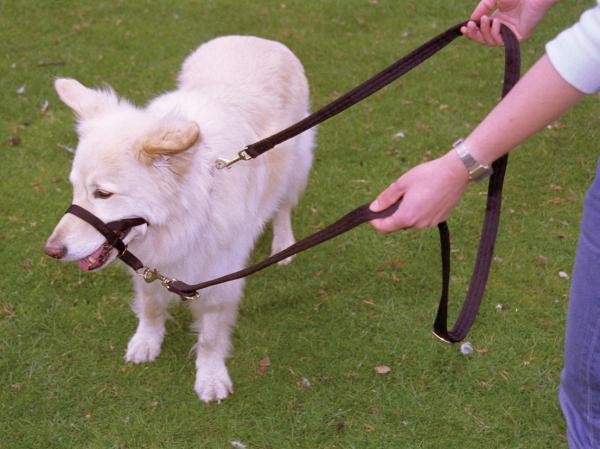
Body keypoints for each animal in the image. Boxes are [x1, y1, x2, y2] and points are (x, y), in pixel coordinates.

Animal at [43, 34, 314, 400]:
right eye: (75, 189)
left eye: (103, 194)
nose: (51, 251)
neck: (183, 219)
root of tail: (254, 38)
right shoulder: (150, 265)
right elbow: (150, 307)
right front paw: (146, 342)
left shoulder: (219, 281)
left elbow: (210, 337)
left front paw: (210, 376)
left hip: (295, 166)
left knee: (283, 208)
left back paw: (284, 245)